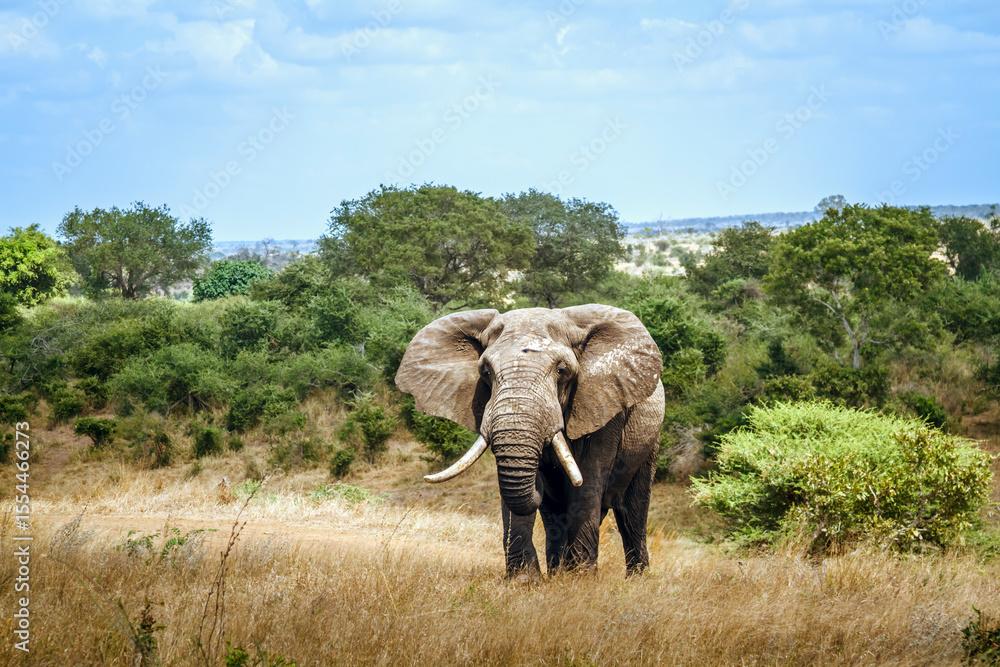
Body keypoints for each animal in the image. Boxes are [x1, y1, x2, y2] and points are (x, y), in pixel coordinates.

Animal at [395, 304, 665, 577]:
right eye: (486, 372)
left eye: (562, 370)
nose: (540, 477)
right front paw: (525, 579)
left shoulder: (603, 404)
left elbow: (587, 482)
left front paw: (580, 579)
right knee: (554, 513)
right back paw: (556, 572)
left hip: (649, 443)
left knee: (631, 511)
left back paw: (635, 579)